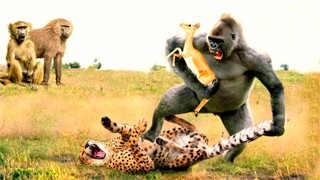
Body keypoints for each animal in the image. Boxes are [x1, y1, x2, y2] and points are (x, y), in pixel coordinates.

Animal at [79, 115, 272, 173]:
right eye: (81, 155)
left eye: (83, 146)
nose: (87, 144)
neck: (109, 154)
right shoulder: (146, 165)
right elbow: (134, 142)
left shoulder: (120, 139)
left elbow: (125, 131)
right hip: (179, 161)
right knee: (191, 149)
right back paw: (164, 141)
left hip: (180, 132)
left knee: (192, 128)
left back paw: (167, 122)